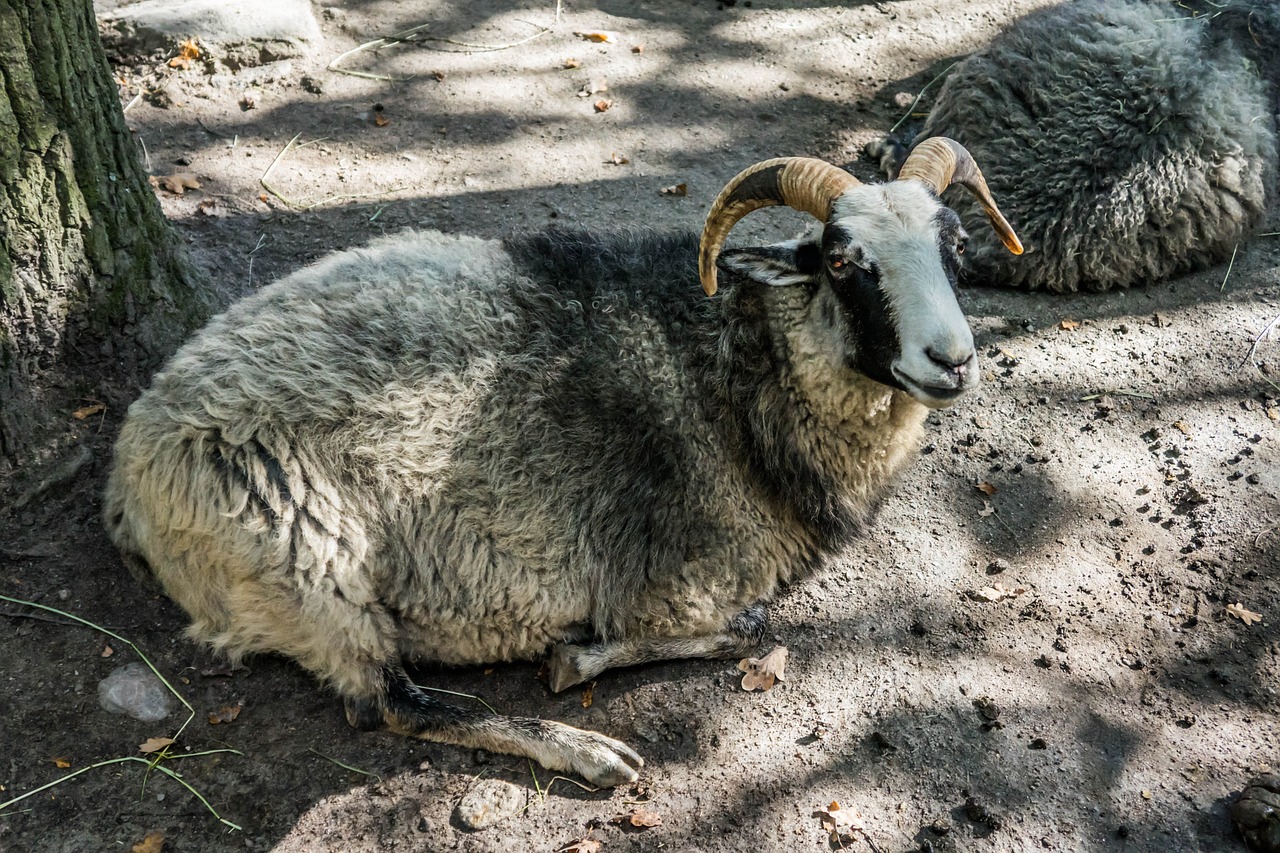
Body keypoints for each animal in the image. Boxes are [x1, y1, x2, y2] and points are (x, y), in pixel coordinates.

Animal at [102, 137, 1018, 783]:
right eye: (840, 260)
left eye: (956, 247)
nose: (953, 360)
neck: (740, 367)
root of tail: (133, 461)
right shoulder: (681, 581)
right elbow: (751, 624)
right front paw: (574, 655)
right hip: (309, 561)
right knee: (391, 706)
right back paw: (584, 748)